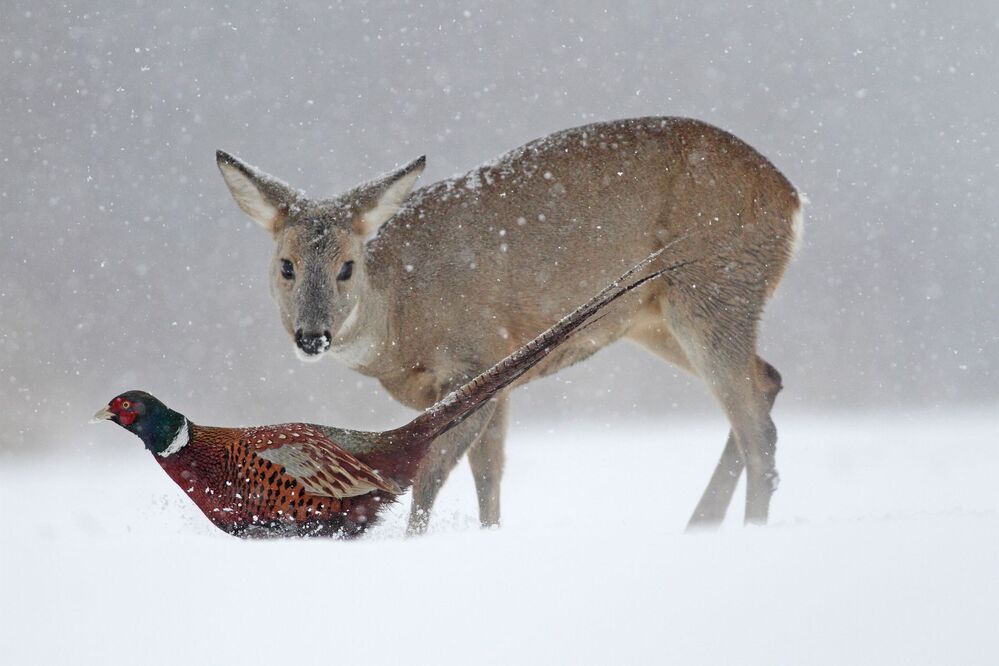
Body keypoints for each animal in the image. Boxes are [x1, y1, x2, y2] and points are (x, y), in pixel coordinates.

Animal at [215, 116, 804, 534]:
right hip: (656, 319)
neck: (401, 318)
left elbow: (433, 472)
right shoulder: (496, 380)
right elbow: (489, 474)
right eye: (286, 265)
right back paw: (700, 526)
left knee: (758, 427)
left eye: (346, 266)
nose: (312, 335)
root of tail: (793, 200)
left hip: (713, 288)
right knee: (767, 381)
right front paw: (490, 537)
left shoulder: (478, 354)